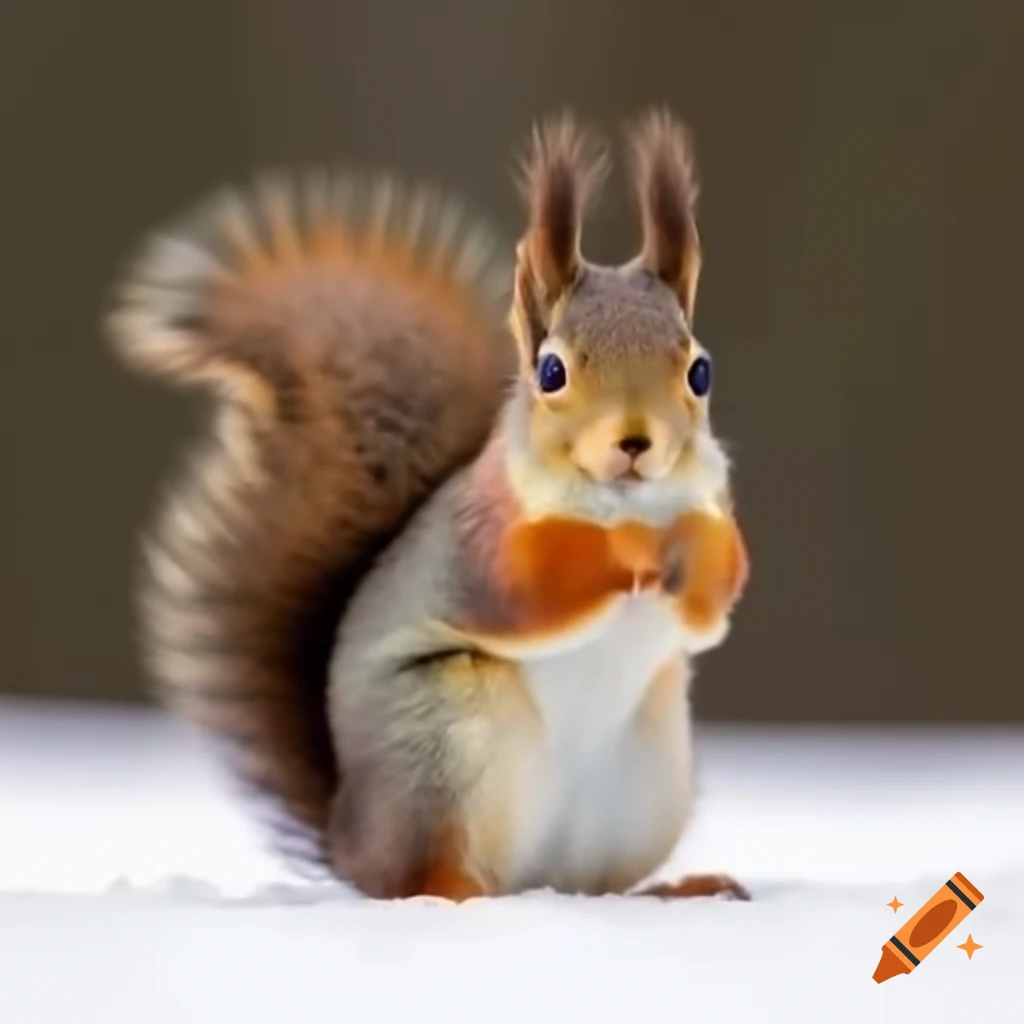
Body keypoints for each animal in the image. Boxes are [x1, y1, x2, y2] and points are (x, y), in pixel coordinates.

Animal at [107, 107, 750, 902]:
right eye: (551, 371)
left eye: (700, 371)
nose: (636, 442)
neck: (623, 502)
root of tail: (352, 842)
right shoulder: (479, 536)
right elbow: (525, 588)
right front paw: (620, 554)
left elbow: (714, 599)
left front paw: (694, 552)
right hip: (443, 741)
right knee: (426, 875)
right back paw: (458, 888)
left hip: (645, 789)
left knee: (594, 885)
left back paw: (678, 889)